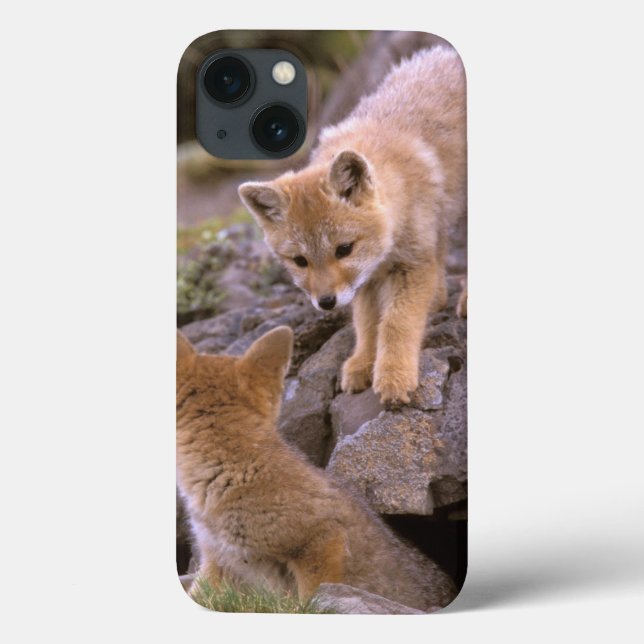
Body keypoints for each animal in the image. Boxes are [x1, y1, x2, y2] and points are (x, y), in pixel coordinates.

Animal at [238, 46, 466, 405]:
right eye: (300, 261)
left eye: (344, 249)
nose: (326, 303)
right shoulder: (367, 280)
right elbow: (368, 325)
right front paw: (362, 363)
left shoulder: (412, 265)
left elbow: (395, 324)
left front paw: (394, 375)